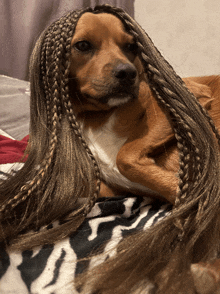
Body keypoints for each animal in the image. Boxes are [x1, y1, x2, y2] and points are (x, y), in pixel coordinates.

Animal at [69, 12, 220, 207]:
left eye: (131, 46)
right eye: (83, 45)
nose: (128, 73)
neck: (96, 114)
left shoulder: (192, 96)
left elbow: (124, 155)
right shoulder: (106, 189)